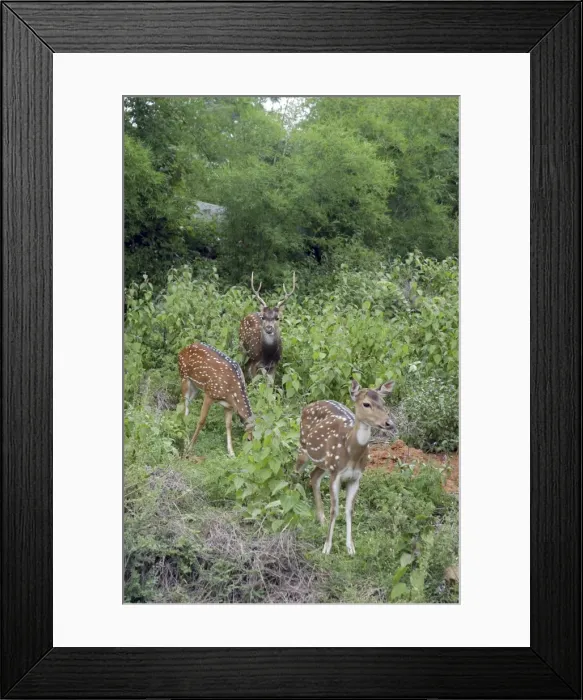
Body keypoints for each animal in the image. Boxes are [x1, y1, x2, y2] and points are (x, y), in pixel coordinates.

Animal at [295, 379, 396, 555]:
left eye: (383, 402)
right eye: (366, 404)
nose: (388, 423)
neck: (351, 451)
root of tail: (307, 406)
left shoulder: (356, 477)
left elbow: (349, 510)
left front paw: (351, 548)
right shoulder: (336, 474)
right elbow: (335, 509)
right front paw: (326, 548)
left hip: (325, 464)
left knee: (313, 476)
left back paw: (321, 519)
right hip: (304, 448)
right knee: (295, 471)